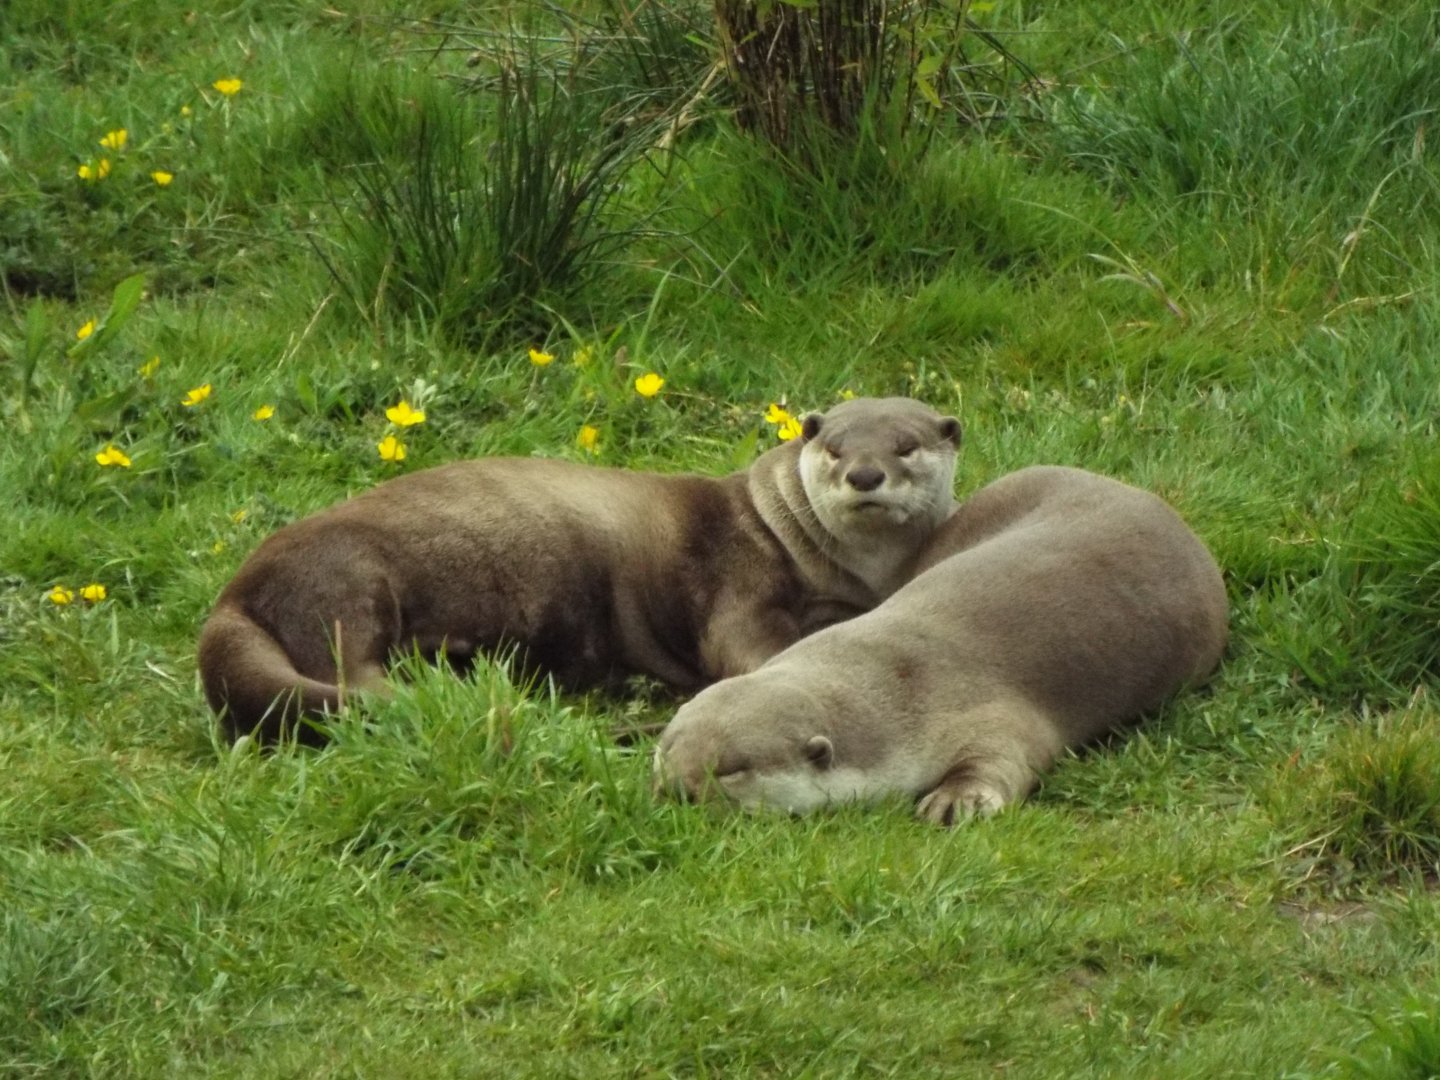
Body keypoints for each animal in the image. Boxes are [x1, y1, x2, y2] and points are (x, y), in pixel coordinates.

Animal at [199, 396, 962, 743]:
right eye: (834, 449)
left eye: (905, 445)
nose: (865, 474)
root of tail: (232, 599)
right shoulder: (735, 582)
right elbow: (749, 650)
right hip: (347, 577)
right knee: (351, 671)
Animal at [654, 466, 1228, 823]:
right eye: (665, 751)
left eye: (730, 770)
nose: (676, 789)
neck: (897, 681)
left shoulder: (985, 705)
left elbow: (1006, 756)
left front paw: (959, 802)